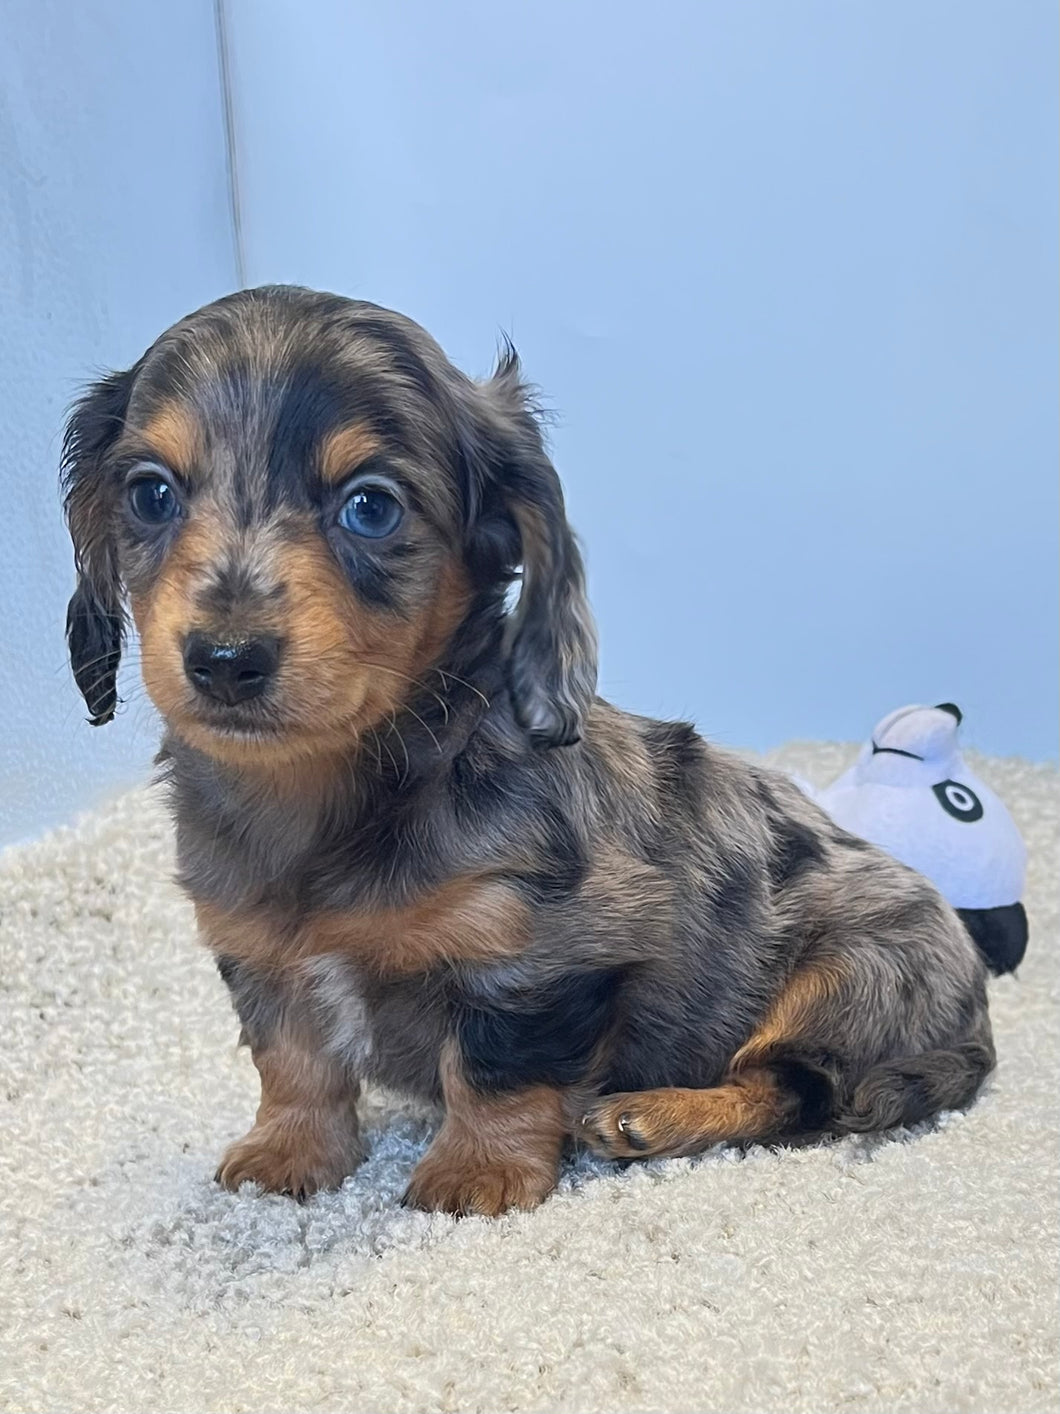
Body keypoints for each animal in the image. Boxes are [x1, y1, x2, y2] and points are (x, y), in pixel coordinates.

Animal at [64, 284, 994, 1216]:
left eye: (371, 506)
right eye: (151, 495)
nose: (225, 660)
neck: (339, 791)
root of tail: (977, 1014)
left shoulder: (536, 950)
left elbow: (495, 1063)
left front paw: (478, 1171)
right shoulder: (259, 948)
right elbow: (293, 1059)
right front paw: (289, 1151)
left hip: (849, 974)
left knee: (790, 1090)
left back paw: (655, 1116)